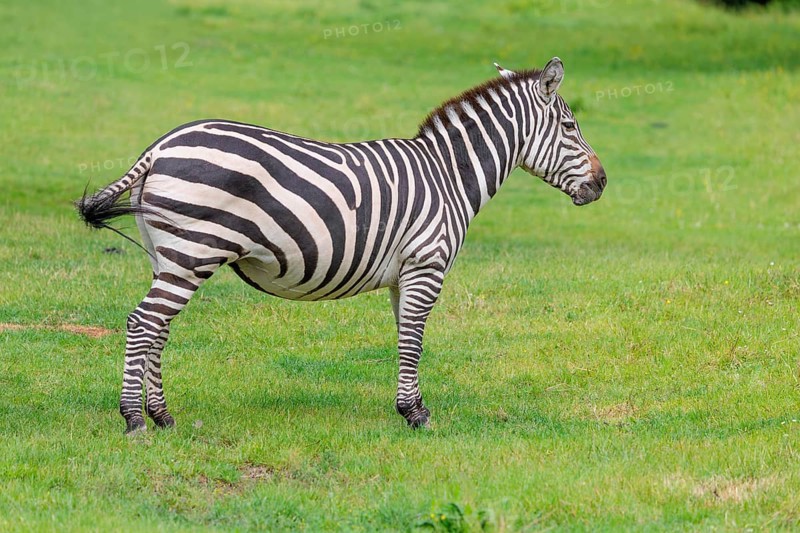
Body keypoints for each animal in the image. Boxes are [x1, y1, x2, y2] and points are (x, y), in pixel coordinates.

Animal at [76, 57, 606, 434]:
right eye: (570, 128)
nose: (602, 184)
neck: (447, 176)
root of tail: (159, 147)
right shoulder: (426, 264)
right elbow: (414, 338)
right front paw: (416, 415)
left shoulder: (404, 275)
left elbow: (405, 336)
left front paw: (409, 405)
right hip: (193, 253)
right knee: (143, 323)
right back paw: (134, 419)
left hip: (169, 256)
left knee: (157, 328)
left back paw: (163, 416)